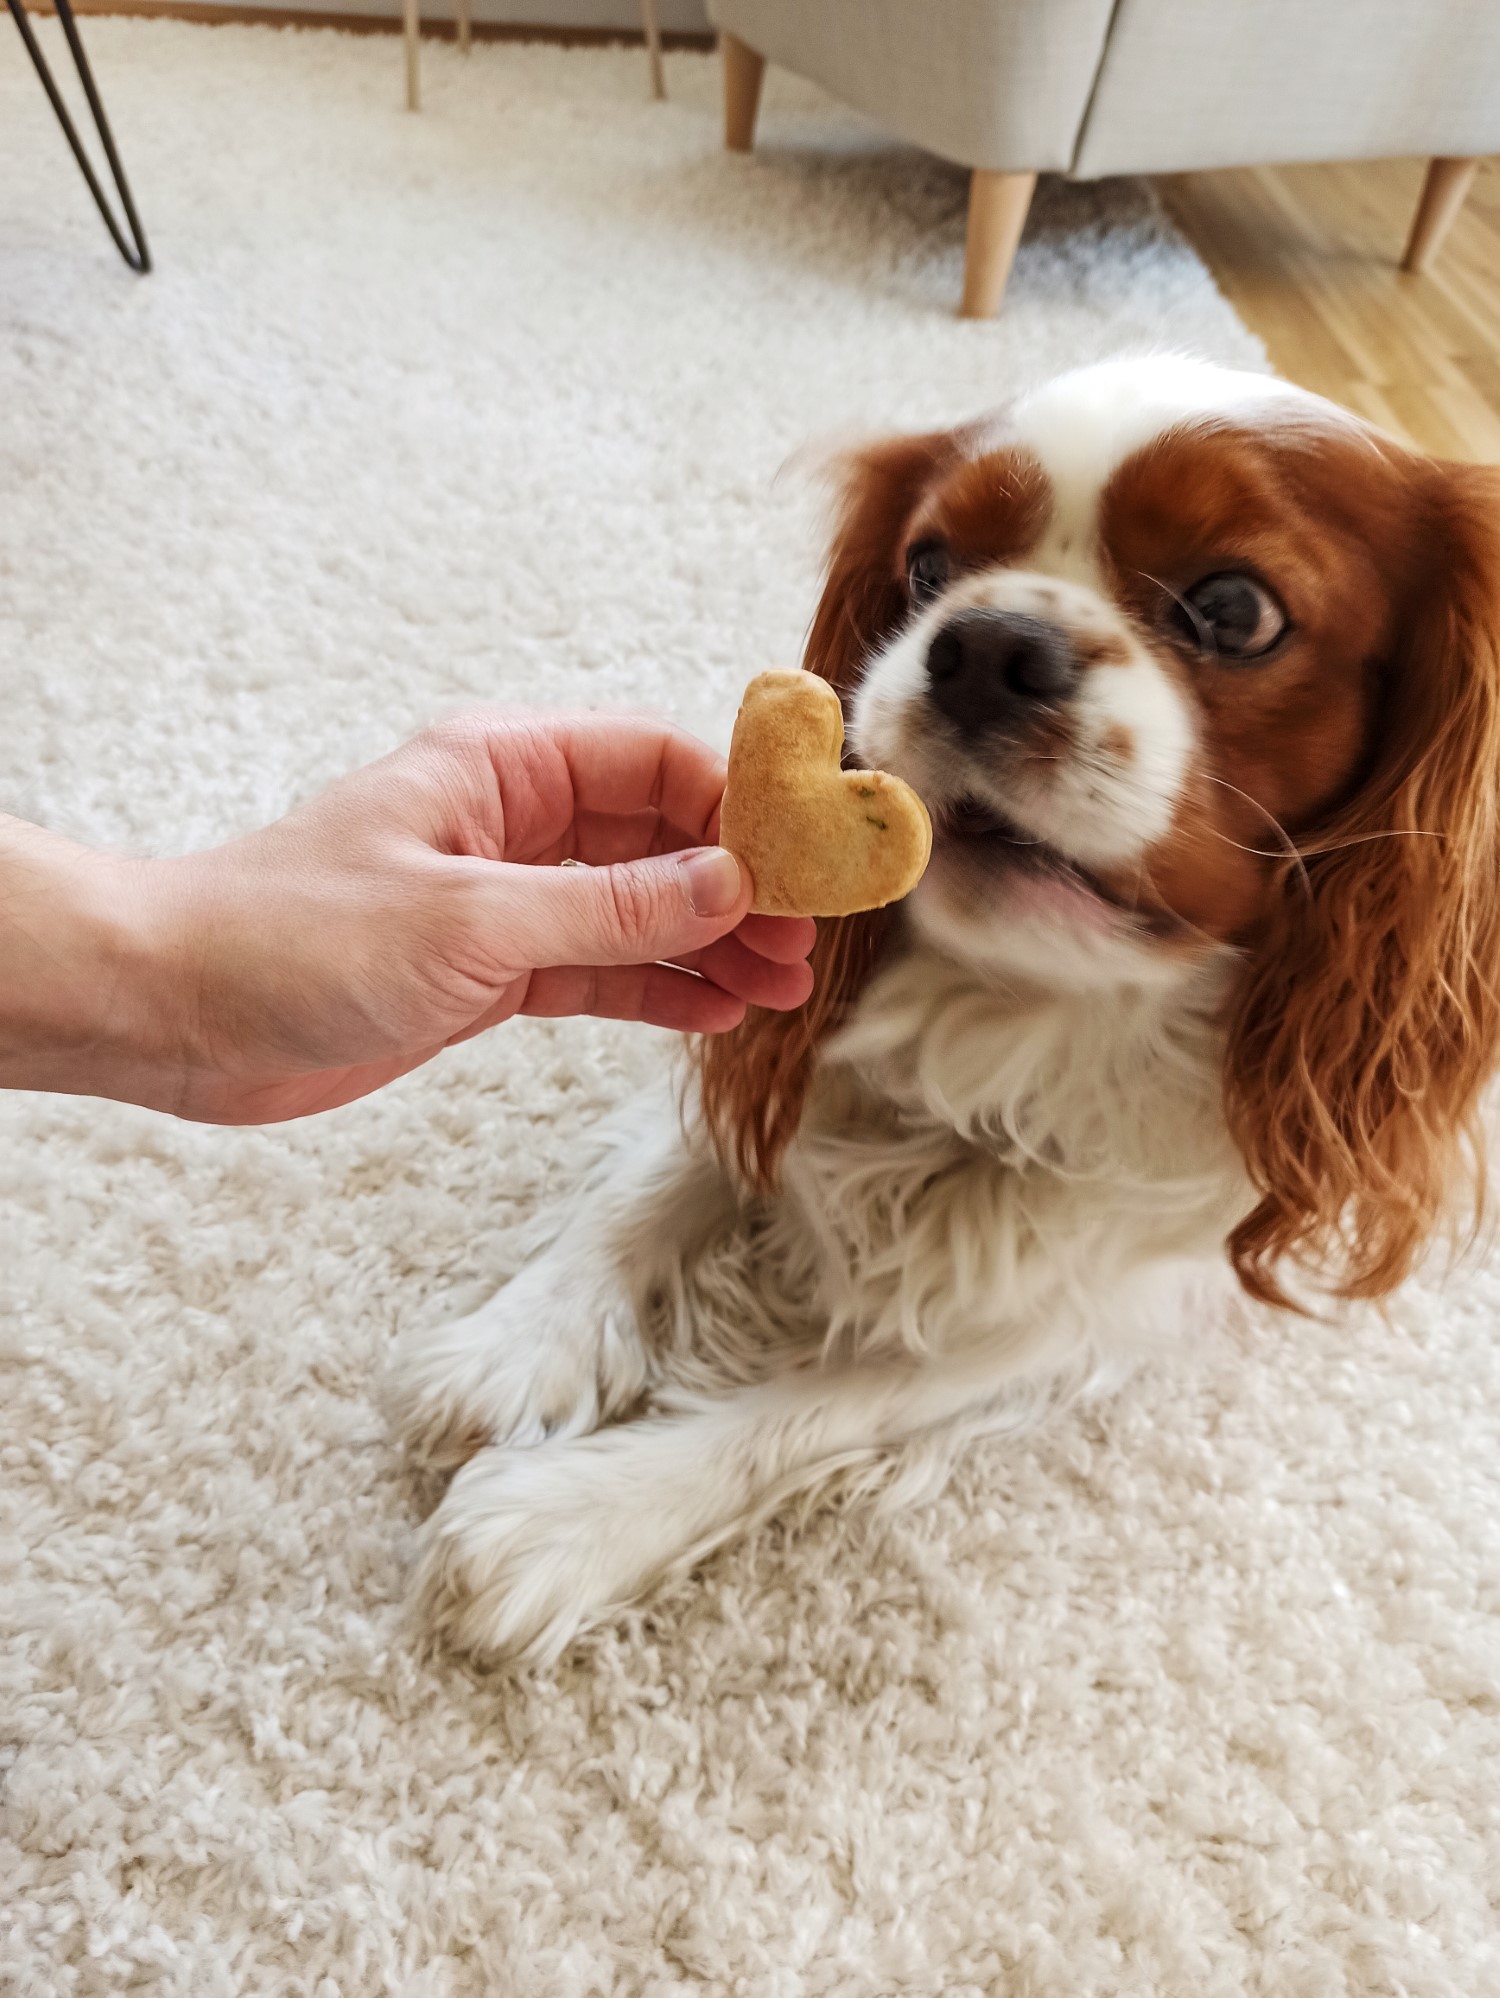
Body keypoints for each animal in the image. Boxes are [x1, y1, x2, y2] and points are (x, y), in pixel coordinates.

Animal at [389, 355, 1500, 1670]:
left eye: (1235, 612)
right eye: (926, 568)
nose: (984, 644)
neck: (1014, 1010)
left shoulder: (1086, 1307)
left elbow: (816, 1407)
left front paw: (569, 1515)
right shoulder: (769, 1043)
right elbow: (655, 1181)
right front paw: (520, 1344)